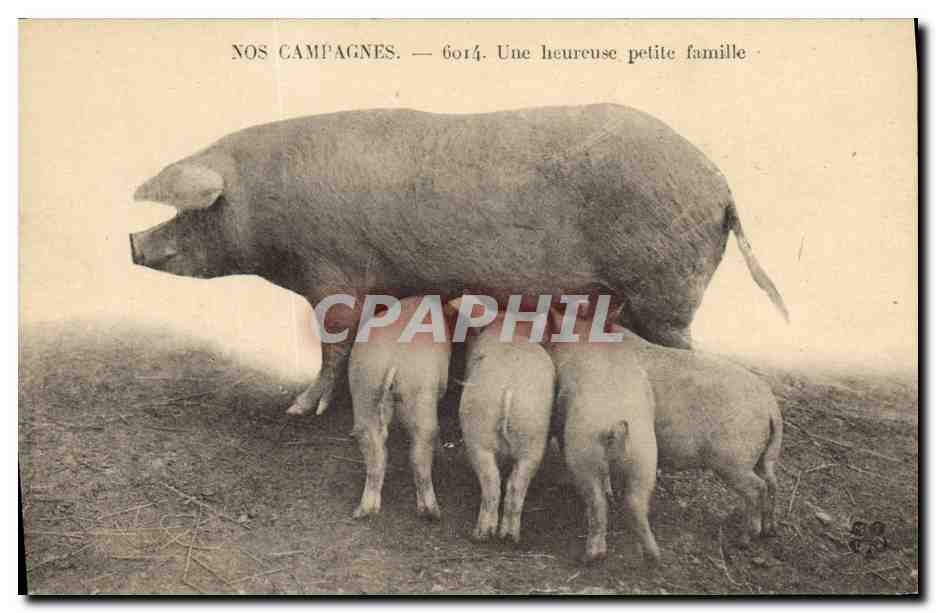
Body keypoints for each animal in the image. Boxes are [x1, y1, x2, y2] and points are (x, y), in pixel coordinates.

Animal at [130, 104, 789, 417]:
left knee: (684, 350)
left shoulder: (331, 274)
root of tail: (722, 187)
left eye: (194, 210)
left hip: (667, 287)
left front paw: (298, 409)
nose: (131, 244)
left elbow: (333, 344)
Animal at [348, 296, 452, 519]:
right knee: (422, 446)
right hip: (419, 390)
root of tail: (392, 359)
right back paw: (431, 511)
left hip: (364, 385)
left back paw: (366, 509)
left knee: (372, 446)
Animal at [456, 298, 556, 543]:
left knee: (493, 482)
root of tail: (509, 388)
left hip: (479, 427)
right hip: (532, 431)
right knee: (513, 485)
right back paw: (508, 535)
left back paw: (483, 534)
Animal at [549, 308, 661, 564]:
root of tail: (616, 428)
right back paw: (653, 555)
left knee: (597, 503)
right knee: (636, 502)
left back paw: (592, 555)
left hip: (584, 454)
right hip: (644, 457)